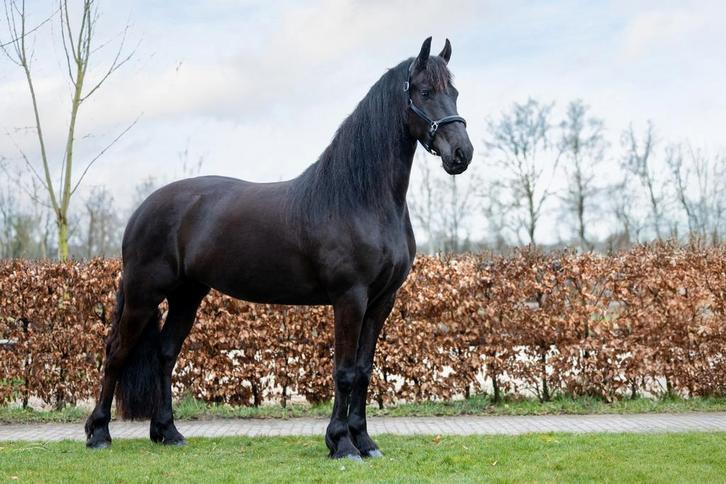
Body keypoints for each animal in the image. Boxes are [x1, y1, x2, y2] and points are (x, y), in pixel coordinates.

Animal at [84, 37, 473, 460]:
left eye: (455, 93)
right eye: (425, 92)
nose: (461, 154)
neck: (361, 198)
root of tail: (142, 209)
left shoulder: (381, 301)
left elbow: (364, 371)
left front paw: (365, 441)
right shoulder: (350, 298)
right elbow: (344, 371)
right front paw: (341, 443)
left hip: (187, 295)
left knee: (165, 354)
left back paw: (167, 431)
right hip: (144, 294)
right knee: (116, 352)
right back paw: (99, 433)